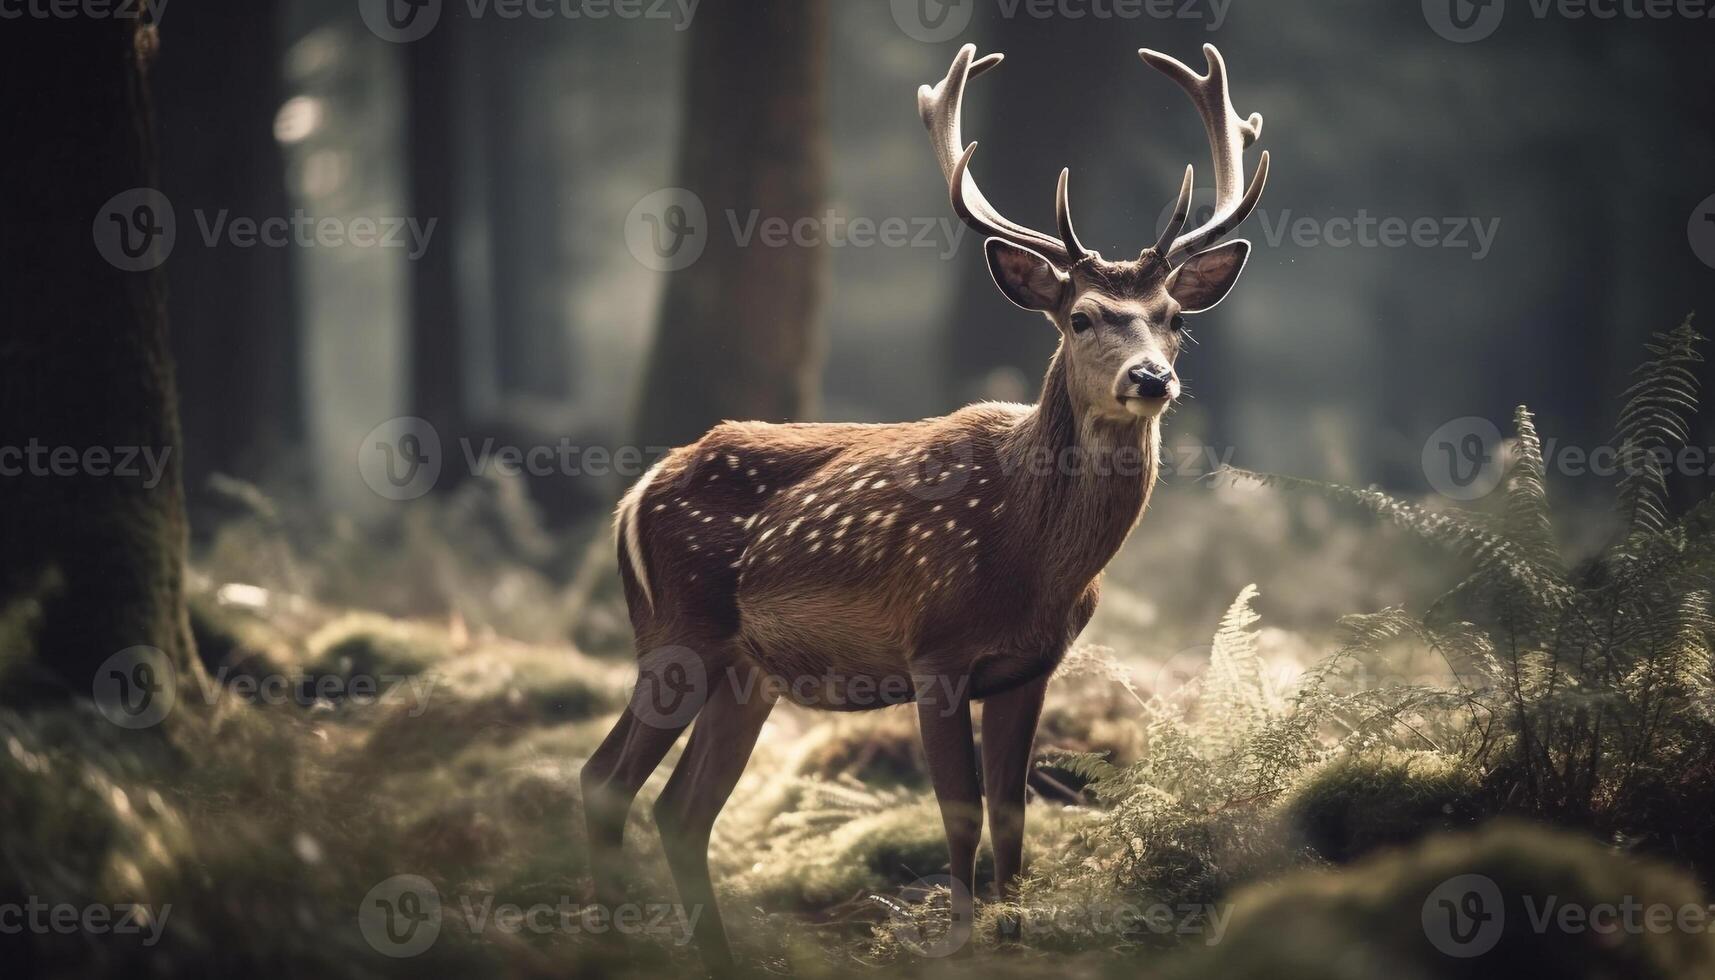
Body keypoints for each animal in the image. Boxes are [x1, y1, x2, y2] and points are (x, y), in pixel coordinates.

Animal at [583, 40, 1269, 974]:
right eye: (1082, 317)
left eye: (1171, 319)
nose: (1150, 378)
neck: (1032, 557)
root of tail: (634, 496)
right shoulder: (933, 651)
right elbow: (960, 814)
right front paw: (956, 943)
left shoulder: (1029, 666)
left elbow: (1014, 820)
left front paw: (1013, 941)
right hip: (674, 632)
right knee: (605, 780)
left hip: (746, 672)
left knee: (681, 809)